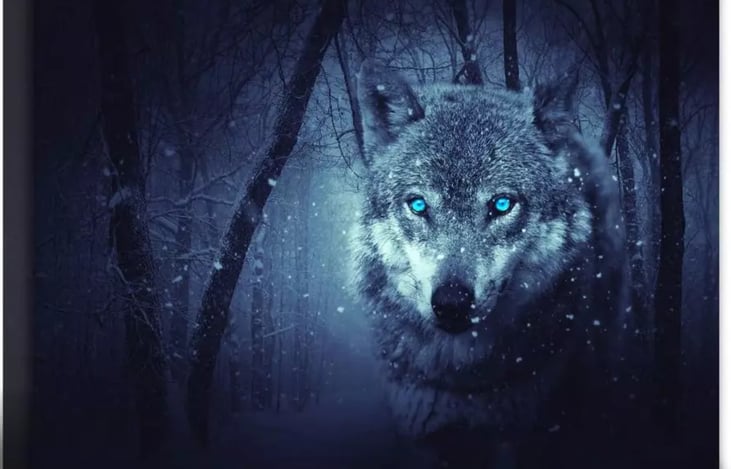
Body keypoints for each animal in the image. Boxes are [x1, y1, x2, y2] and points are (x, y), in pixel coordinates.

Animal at [349, 60, 640, 467]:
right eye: (418, 205)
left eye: (501, 205)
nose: (452, 302)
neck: (463, 377)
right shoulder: (422, 435)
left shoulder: (518, 434)